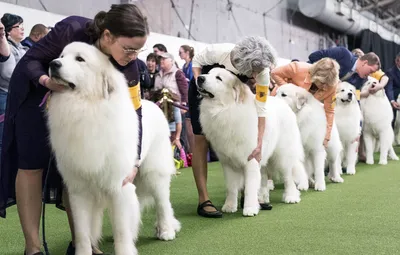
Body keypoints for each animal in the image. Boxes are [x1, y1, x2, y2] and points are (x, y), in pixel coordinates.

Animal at [45, 42, 180, 255]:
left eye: (80, 59)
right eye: (62, 56)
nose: (53, 64)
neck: (85, 108)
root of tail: (155, 104)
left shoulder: (118, 186)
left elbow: (121, 229)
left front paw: (124, 249)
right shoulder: (78, 190)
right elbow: (82, 232)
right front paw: (84, 251)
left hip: (153, 173)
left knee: (163, 203)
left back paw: (166, 230)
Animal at [198, 66, 308, 216]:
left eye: (218, 78)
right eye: (208, 73)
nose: (199, 78)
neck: (226, 110)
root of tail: (282, 103)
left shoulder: (251, 159)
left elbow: (250, 187)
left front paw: (249, 209)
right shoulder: (228, 163)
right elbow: (231, 187)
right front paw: (230, 206)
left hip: (282, 156)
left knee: (288, 177)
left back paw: (291, 197)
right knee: (264, 178)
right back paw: (263, 199)